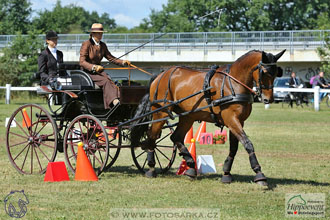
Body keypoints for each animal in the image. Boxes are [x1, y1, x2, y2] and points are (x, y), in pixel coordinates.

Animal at [130, 49, 284, 185]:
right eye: (264, 72)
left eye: (276, 73)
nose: (268, 99)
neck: (233, 83)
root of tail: (160, 75)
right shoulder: (231, 119)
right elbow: (247, 144)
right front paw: (259, 174)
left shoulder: (238, 121)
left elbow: (234, 148)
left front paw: (226, 173)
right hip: (160, 112)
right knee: (152, 136)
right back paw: (151, 167)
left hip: (188, 116)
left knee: (175, 137)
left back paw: (191, 166)